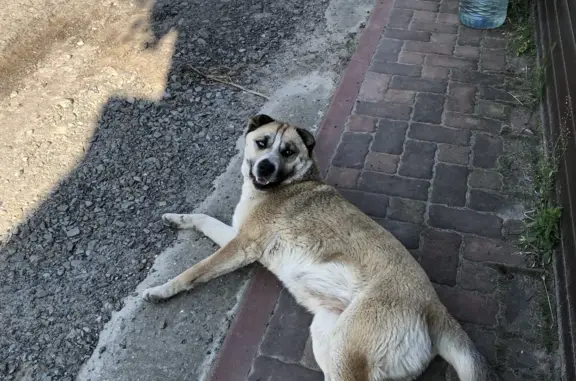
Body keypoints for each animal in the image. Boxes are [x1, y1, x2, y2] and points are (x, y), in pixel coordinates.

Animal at [142, 114, 498, 378]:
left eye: (287, 152)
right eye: (262, 143)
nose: (265, 167)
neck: (290, 183)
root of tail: (434, 307)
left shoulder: (242, 246)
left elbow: (194, 271)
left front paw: (162, 290)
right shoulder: (237, 237)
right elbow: (203, 218)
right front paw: (177, 218)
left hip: (346, 352)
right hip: (327, 336)